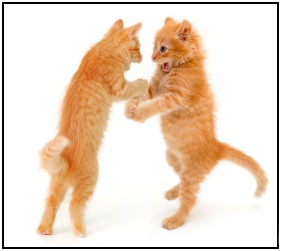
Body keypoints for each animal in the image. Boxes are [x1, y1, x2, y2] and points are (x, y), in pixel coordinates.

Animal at [37, 20, 148, 237]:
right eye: (138, 48)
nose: (142, 56)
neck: (105, 48)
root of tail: (66, 159)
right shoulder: (120, 87)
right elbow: (137, 85)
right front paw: (144, 82)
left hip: (57, 183)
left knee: (51, 203)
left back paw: (45, 230)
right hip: (91, 177)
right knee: (74, 204)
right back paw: (80, 231)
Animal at [125, 17, 266, 229]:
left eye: (163, 49)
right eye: (153, 46)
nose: (152, 56)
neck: (178, 67)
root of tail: (217, 147)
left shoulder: (174, 97)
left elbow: (154, 105)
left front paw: (139, 113)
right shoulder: (154, 88)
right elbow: (141, 94)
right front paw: (129, 108)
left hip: (191, 171)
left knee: (190, 197)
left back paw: (175, 220)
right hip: (172, 157)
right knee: (183, 182)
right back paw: (172, 193)